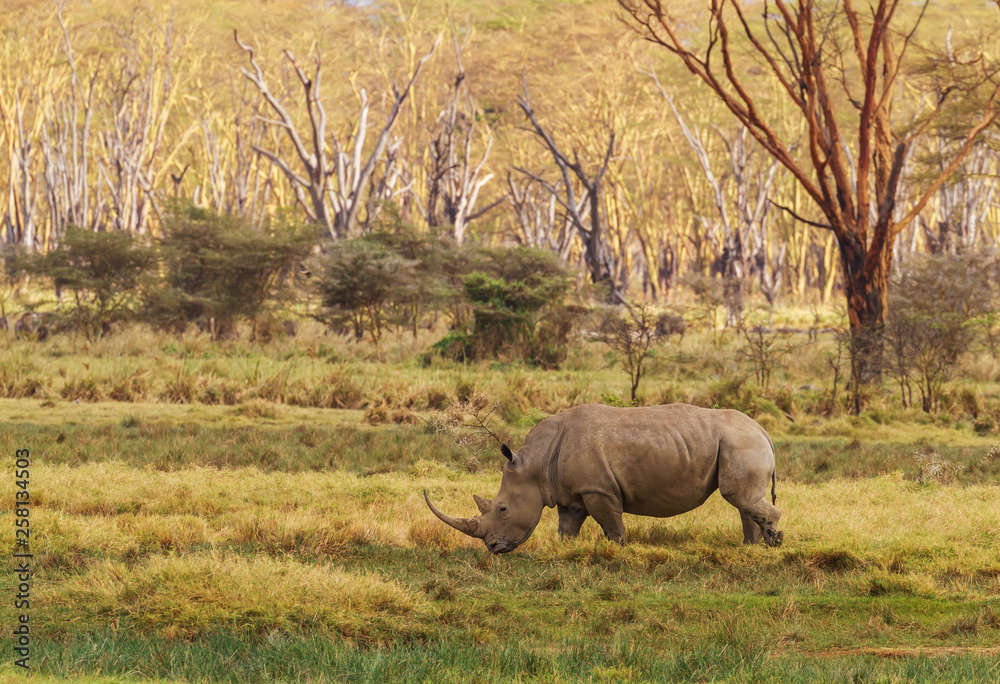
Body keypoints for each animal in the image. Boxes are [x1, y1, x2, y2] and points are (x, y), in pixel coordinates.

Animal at [424, 403, 783, 554]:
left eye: (502, 509)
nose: (493, 548)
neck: (535, 464)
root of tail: (764, 431)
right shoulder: (571, 493)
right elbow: (567, 526)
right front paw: (567, 550)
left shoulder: (598, 489)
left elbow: (612, 524)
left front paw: (619, 552)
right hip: (739, 442)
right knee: (744, 500)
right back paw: (749, 548)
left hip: (741, 443)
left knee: (739, 497)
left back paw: (774, 542)